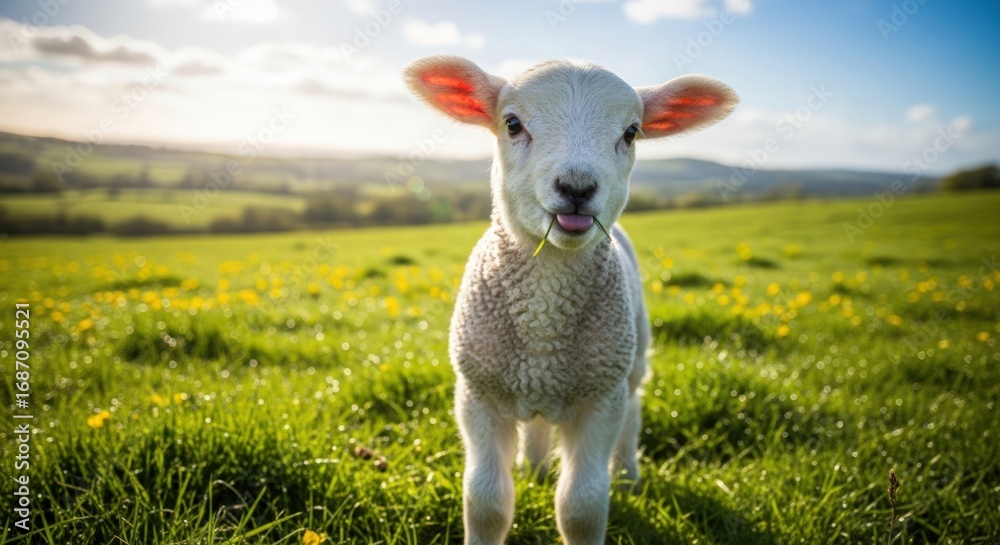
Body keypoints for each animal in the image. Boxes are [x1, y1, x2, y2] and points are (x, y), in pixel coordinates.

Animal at [404, 55, 738, 545]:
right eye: (512, 123)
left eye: (631, 132)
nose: (577, 188)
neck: (544, 318)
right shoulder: (478, 395)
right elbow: (485, 502)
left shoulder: (599, 399)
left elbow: (582, 506)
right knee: (540, 425)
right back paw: (534, 470)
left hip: (631, 359)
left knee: (633, 412)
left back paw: (628, 474)